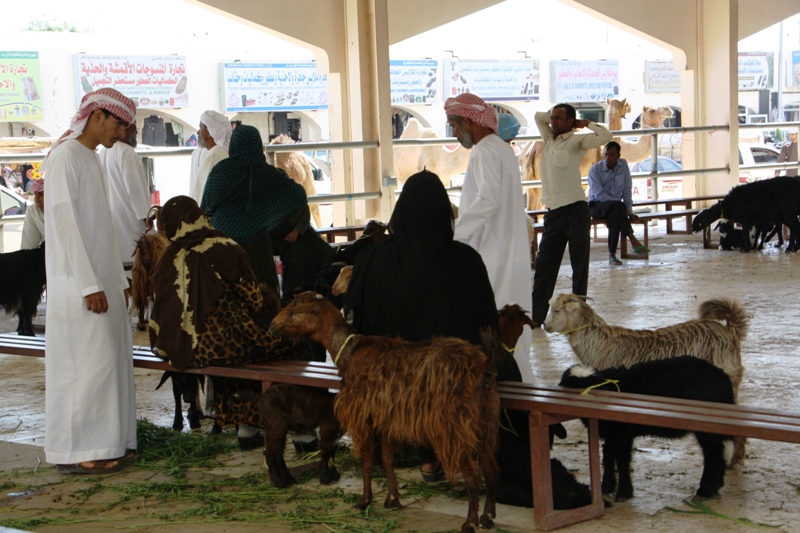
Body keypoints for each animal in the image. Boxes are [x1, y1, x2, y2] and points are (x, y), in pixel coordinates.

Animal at [268, 290, 500, 532]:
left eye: (296, 306)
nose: (272, 325)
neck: (349, 351)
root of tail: (483, 366)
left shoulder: (363, 418)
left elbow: (366, 462)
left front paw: (363, 501)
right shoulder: (386, 419)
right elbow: (388, 459)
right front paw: (392, 499)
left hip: (456, 427)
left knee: (474, 476)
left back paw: (470, 522)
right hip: (486, 422)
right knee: (492, 470)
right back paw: (487, 517)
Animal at [560, 356, 736, 500]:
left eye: (593, 386)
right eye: (571, 385)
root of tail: (724, 380)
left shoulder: (623, 433)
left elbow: (622, 460)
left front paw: (624, 492)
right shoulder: (611, 432)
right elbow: (608, 456)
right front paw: (607, 486)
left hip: (705, 426)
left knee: (713, 453)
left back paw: (705, 490)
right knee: (718, 452)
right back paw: (715, 486)